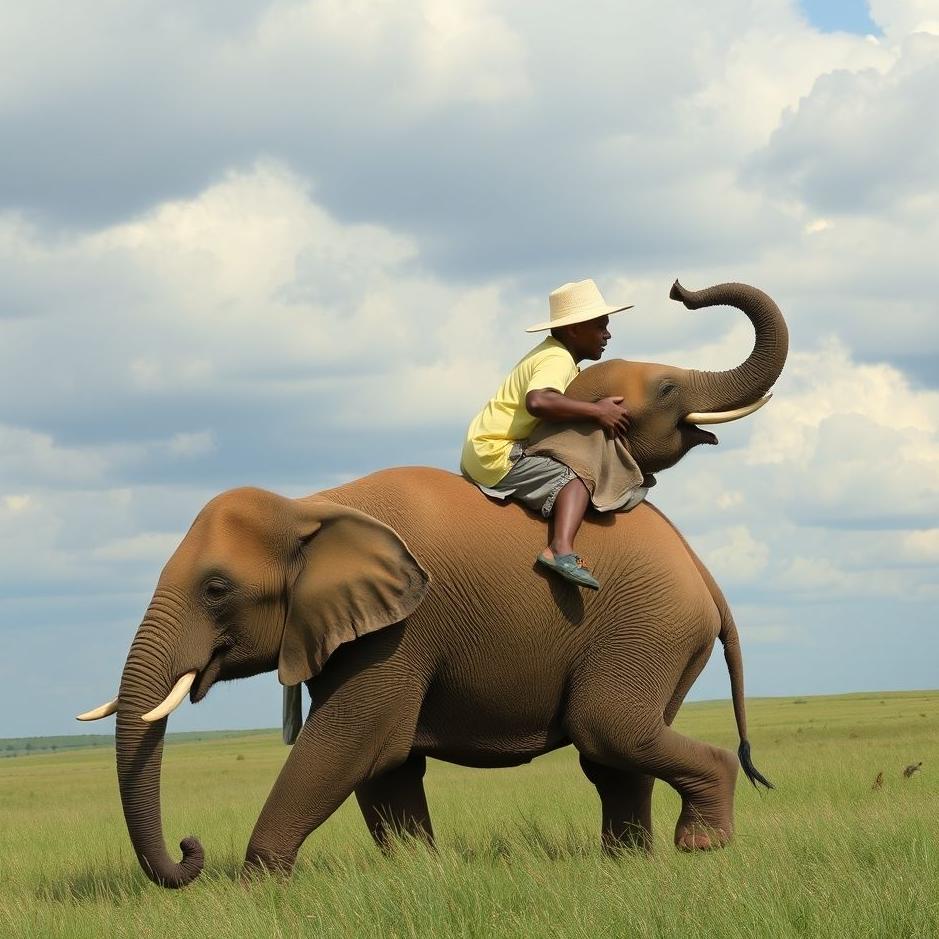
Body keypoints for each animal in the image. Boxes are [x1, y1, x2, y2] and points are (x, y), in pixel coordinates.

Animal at [77, 279, 788, 888]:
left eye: (217, 590)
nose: (190, 851)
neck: (308, 505)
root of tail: (703, 572)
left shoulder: (400, 630)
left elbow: (355, 741)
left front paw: (258, 889)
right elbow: (381, 761)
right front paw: (419, 874)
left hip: (650, 627)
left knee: (609, 731)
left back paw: (699, 846)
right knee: (614, 748)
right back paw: (633, 861)